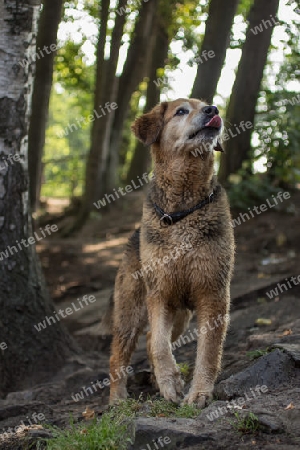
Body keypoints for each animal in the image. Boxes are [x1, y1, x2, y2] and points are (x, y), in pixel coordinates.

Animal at [109, 98, 236, 408]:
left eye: (206, 105)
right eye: (181, 111)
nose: (213, 110)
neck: (182, 210)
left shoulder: (213, 293)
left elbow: (208, 351)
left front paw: (198, 392)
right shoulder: (159, 294)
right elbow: (158, 344)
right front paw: (170, 384)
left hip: (181, 316)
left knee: (152, 337)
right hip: (130, 311)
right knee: (120, 353)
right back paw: (117, 399)